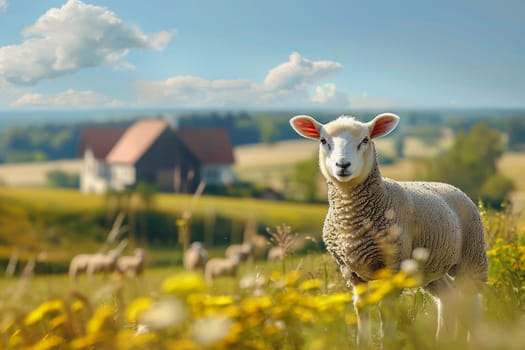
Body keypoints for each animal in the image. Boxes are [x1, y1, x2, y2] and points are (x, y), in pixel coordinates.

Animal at [288, 113, 486, 346]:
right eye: (323, 140)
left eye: (365, 140)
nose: (343, 165)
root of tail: (450, 185)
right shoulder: (351, 272)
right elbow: (361, 310)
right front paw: (362, 344)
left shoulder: (393, 267)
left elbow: (386, 312)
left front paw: (387, 342)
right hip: (430, 268)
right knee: (448, 298)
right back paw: (442, 341)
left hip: (473, 256)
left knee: (473, 304)